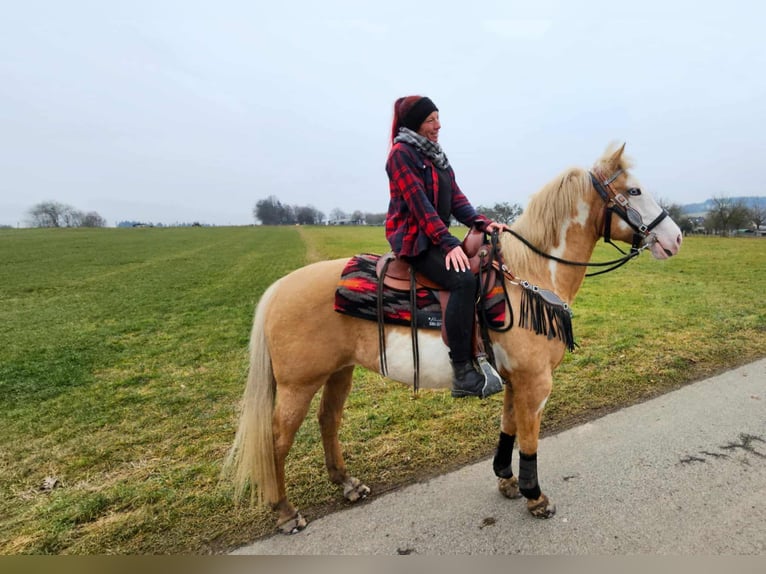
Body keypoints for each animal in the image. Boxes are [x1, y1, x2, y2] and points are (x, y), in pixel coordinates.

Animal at [224, 143, 682, 534]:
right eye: (634, 190)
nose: (675, 238)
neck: (529, 275)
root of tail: (279, 288)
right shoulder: (535, 381)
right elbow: (530, 437)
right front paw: (535, 497)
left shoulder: (515, 379)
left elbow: (509, 427)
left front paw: (507, 481)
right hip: (298, 384)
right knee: (277, 441)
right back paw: (285, 512)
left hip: (339, 371)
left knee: (328, 421)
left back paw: (348, 484)